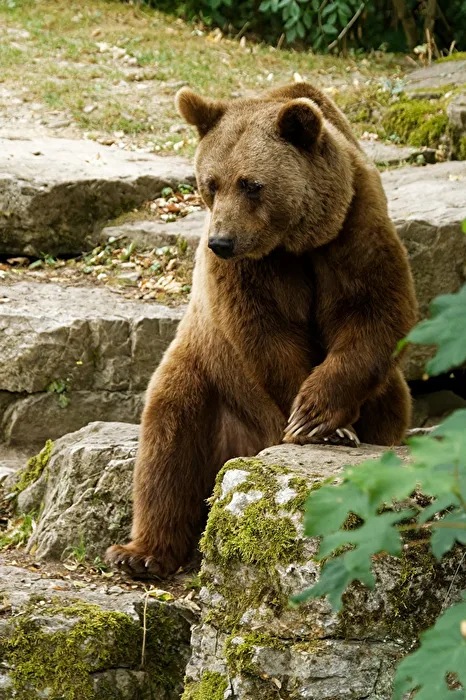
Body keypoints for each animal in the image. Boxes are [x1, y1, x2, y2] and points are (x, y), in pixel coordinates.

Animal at [106, 82, 417, 578]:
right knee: (168, 442)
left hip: (385, 396)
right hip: (206, 373)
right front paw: (316, 424)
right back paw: (141, 553)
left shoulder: (354, 226)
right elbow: (263, 333)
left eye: (251, 184)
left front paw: (319, 418)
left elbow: (375, 310)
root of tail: (248, 449)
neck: (298, 241)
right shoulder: (250, 272)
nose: (221, 241)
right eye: (210, 183)